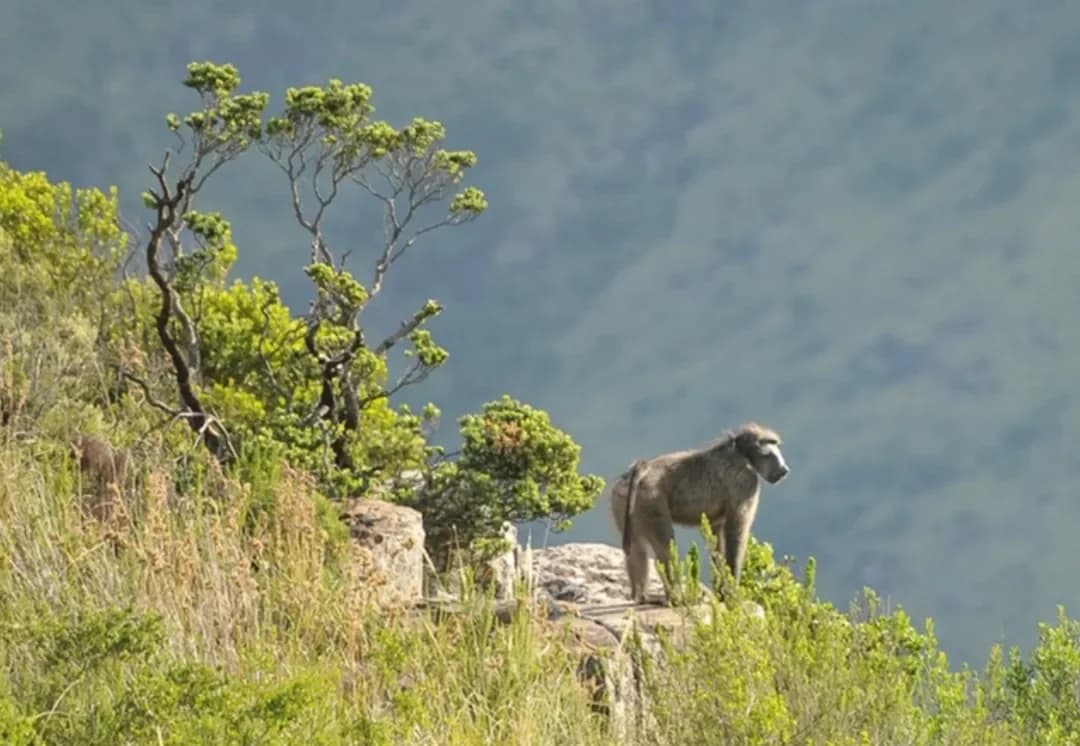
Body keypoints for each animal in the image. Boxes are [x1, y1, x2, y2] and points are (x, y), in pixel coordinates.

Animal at [610, 422, 790, 604]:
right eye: (771, 448)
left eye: (776, 446)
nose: (784, 470)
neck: (741, 452)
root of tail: (642, 468)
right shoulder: (746, 483)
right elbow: (736, 532)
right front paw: (733, 593)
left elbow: (717, 539)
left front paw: (721, 593)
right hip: (650, 500)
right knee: (666, 548)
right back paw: (674, 598)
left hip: (624, 500)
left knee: (636, 548)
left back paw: (641, 597)